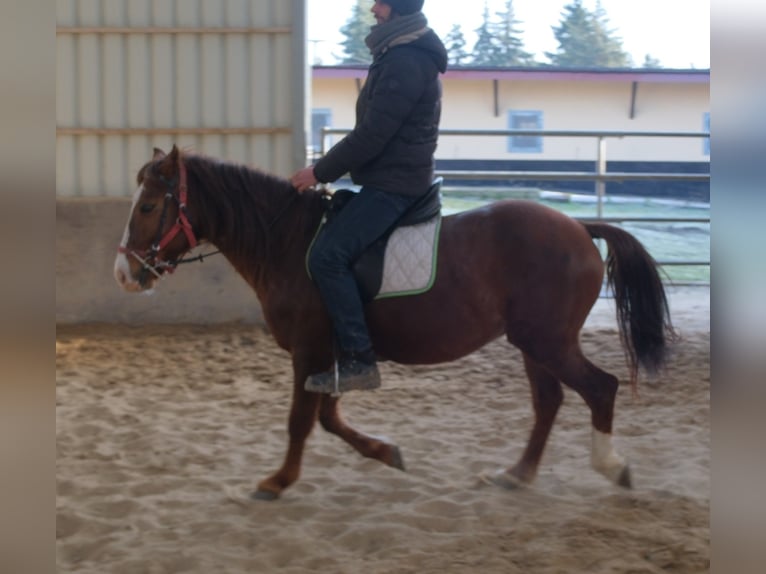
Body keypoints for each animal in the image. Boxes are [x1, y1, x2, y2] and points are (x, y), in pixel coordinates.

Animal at [114, 145, 674, 500]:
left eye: (149, 206)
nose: (123, 274)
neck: (289, 242)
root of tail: (579, 227)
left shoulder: (310, 350)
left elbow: (301, 420)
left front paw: (278, 481)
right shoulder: (333, 355)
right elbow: (328, 418)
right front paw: (386, 452)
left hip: (548, 340)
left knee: (600, 388)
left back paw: (613, 468)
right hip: (532, 343)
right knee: (549, 402)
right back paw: (517, 476)